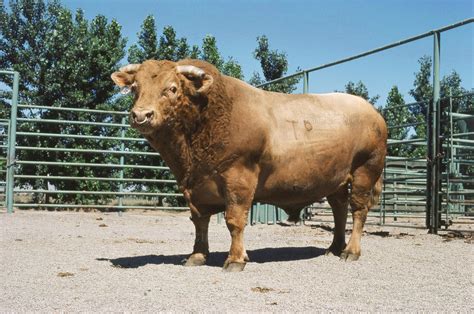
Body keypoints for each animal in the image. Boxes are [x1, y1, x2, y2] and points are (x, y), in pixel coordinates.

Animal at [113, 59, 386, 272]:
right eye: (135, 87)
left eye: (171, 88)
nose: (141, 115)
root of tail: (373, 112)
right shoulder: (193, 187)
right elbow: (199, 221)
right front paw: (197, 256)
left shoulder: (239, 177)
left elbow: (234, 220)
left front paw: (235, 259)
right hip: (336, 179)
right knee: (339, 209)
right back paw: (334, 247)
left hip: (365, 170)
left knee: (358, 210)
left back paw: (350, 251)